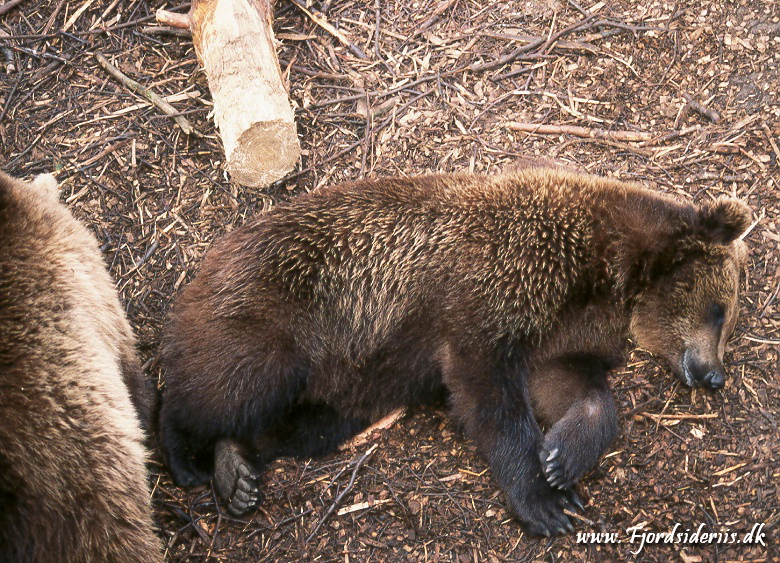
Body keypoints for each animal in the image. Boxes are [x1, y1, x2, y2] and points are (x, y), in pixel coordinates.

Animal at [158, 164, 748, 536]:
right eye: (721, 310)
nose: (715, 374)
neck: (604, 272)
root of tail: (207, 261)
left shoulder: (557, 330)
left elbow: (569, 387)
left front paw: (562, 460)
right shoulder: (489, 291)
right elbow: (487, 393)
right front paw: (543, 501)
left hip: (345, 393)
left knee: (297, 425)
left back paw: (236, 470)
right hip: (280, 316)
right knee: (226, 385)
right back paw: (184, 455)